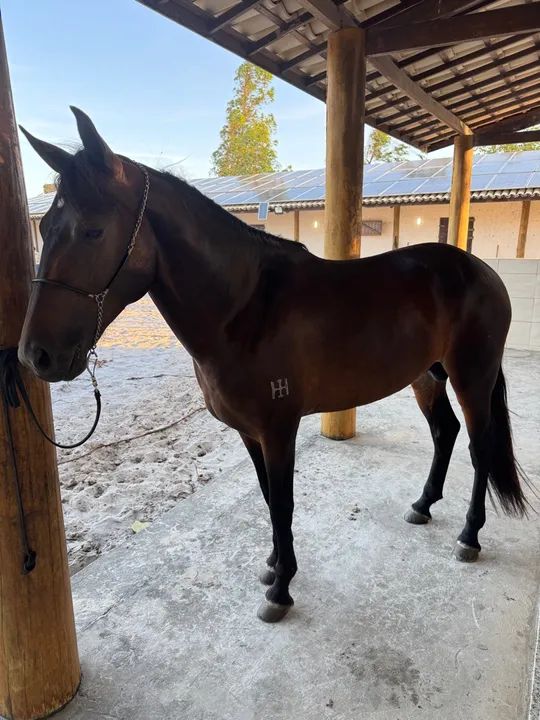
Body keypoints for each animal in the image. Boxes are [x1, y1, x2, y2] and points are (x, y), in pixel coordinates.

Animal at [18, 108, 526, 623]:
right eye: (45, 228)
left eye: (93, 230)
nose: (36, 355)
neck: (245, 308)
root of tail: (481, 271)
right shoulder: (249, 432)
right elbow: (267, 497)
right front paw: (273, 565)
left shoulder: (279, 429)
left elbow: (282, 504)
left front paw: (281, 590)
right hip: (427, 376)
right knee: (445, 432)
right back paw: (422, 505)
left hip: (472, 377)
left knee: (480, 447)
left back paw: (469, 536)